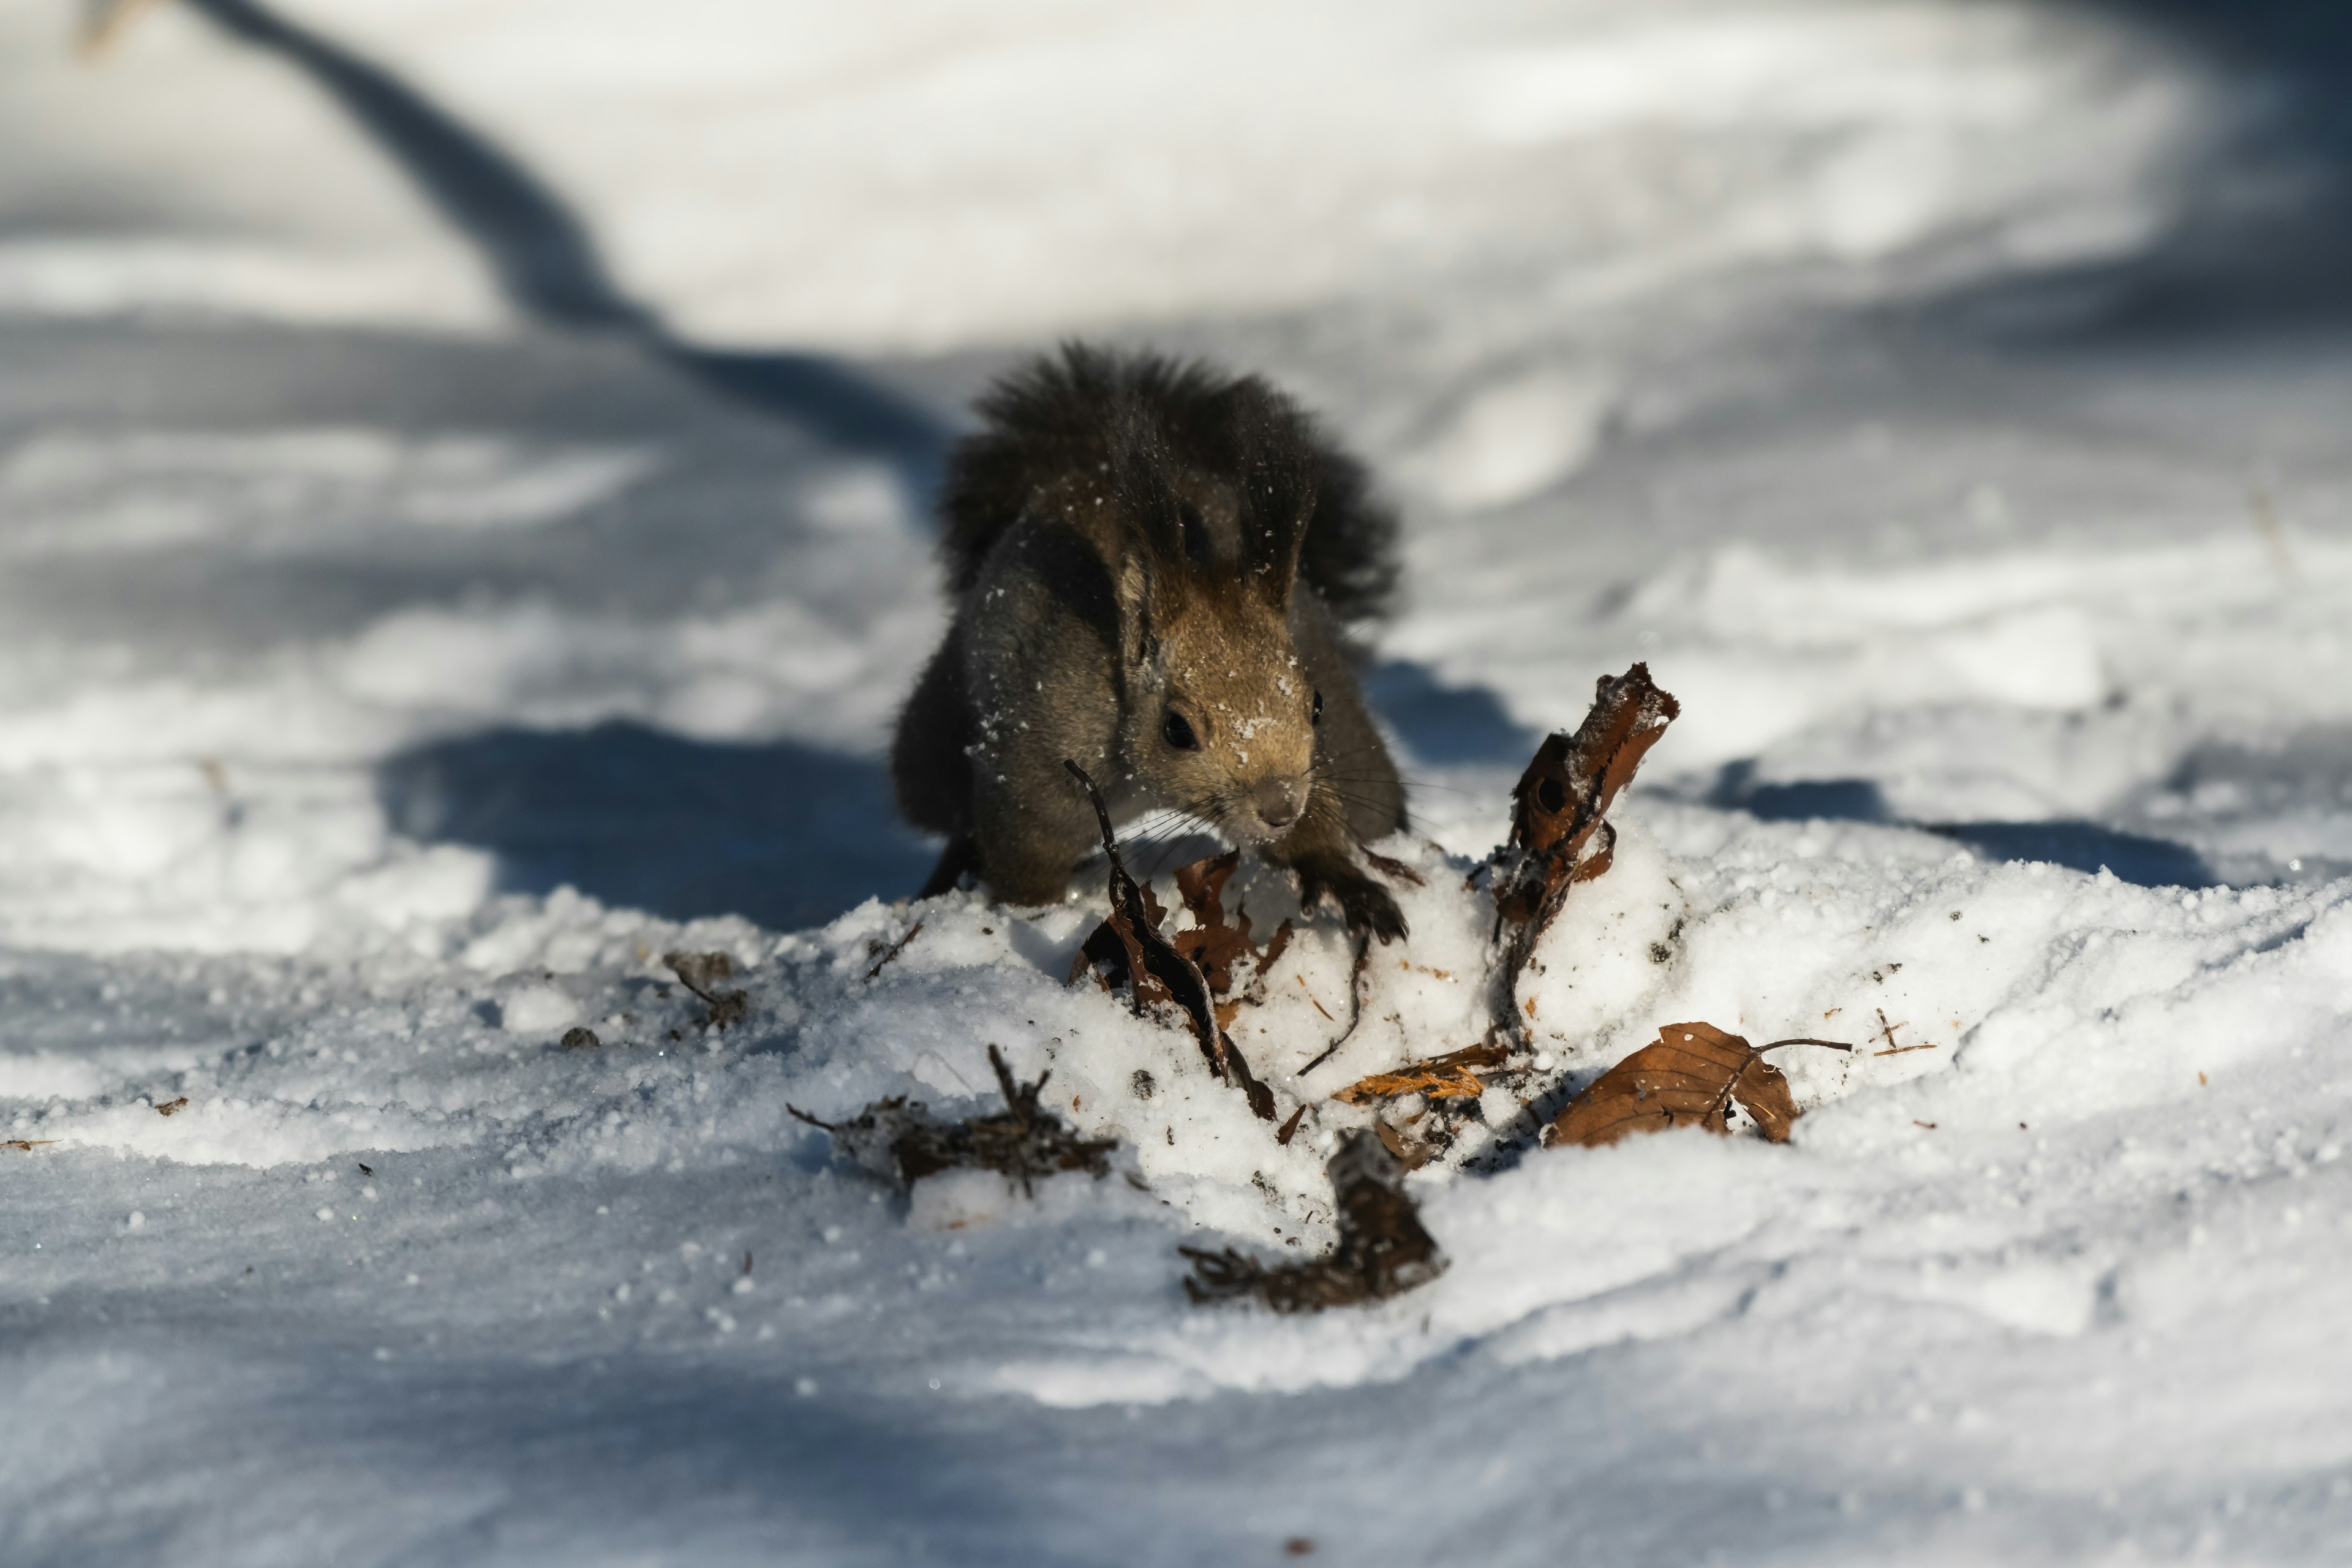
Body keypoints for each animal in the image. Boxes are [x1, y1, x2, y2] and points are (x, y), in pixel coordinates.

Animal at [889, 345, 1401, 944]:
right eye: (1177, 730)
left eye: (1314, 705)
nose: (1280, 808)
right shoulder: (1035, 769)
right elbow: (1025, 859)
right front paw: (1029, 919)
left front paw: (1346, 881)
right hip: (934, 745)